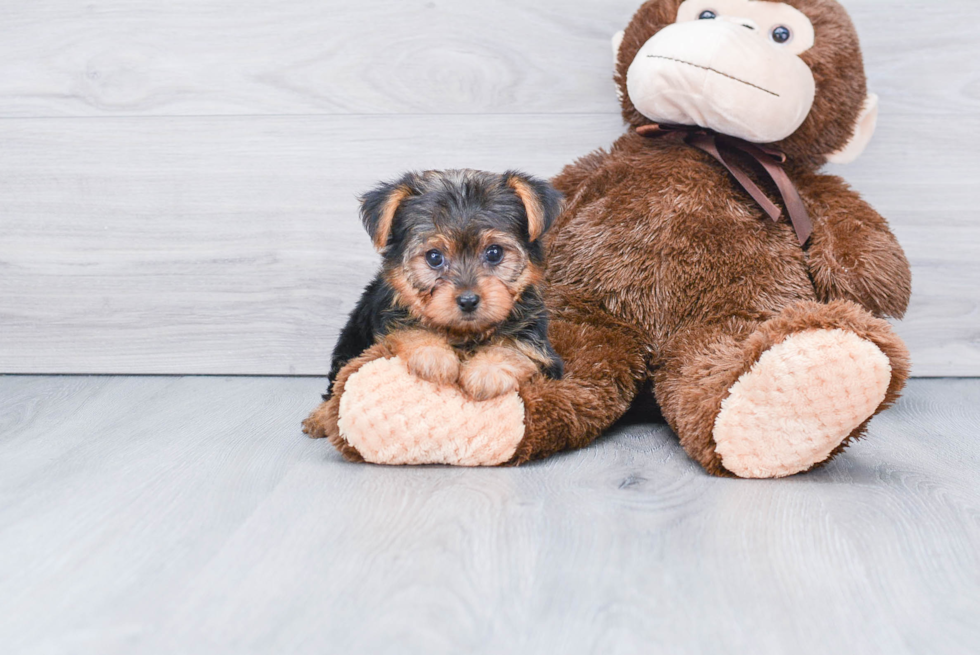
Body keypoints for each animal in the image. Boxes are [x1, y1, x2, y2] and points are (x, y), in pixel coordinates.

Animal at [324, 169, 564, 402]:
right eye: (434, 257)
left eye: (494, 253)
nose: (468, 301)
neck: (464, 334)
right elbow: (410, 328)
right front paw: (434, 356)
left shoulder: (540, 345)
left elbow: (518, 346)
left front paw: (487, 372)